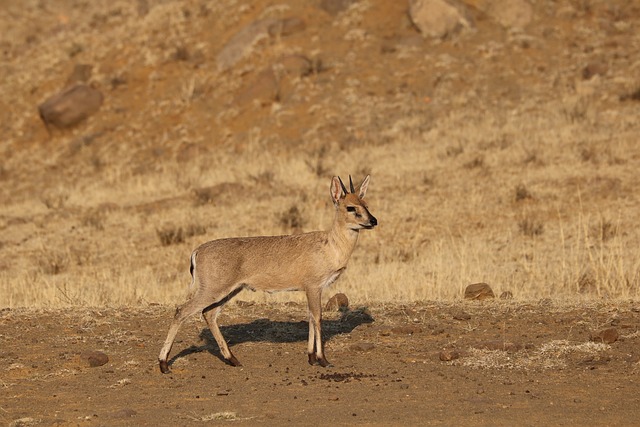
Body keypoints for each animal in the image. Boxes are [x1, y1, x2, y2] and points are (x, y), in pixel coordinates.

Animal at [159, 176, 378, 372]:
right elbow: (317, 318)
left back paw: (233, 359)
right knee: (181, 311)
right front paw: (323, 360)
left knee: (209, 313)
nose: (373, 221)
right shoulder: (314, 287)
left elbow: (310, 317)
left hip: (229, 290)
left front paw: (311, 358)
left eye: (366, 204)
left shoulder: (312, 290)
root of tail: (197, 251)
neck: (330, 246)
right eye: (351, 207)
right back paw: (164, 364)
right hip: (213, 290)